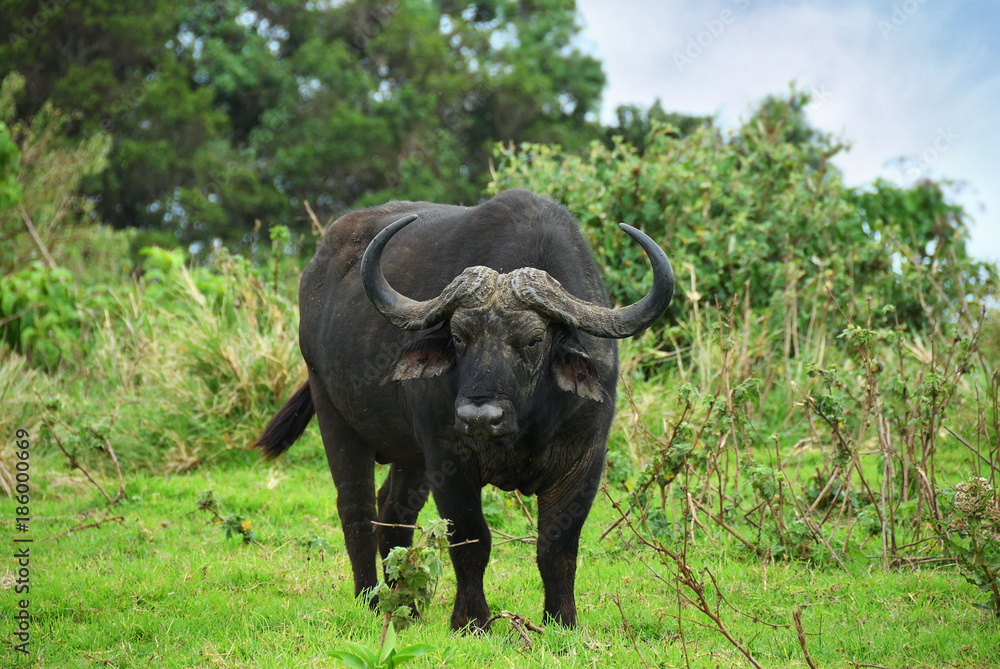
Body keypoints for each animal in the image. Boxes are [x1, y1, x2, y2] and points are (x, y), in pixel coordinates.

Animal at [256, 189, 673, 630]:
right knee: (357, 509)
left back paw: (405, 604)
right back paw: (371, 599)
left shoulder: (584, 462)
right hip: (334, 413)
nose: (479, 418)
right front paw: (471, 620)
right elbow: (471, 540)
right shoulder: (448, 459)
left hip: (409, 454)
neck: (522, 427)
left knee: (394, 511)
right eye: (459, 337)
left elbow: (557, 547)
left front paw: (562, 620)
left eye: (533, 341)